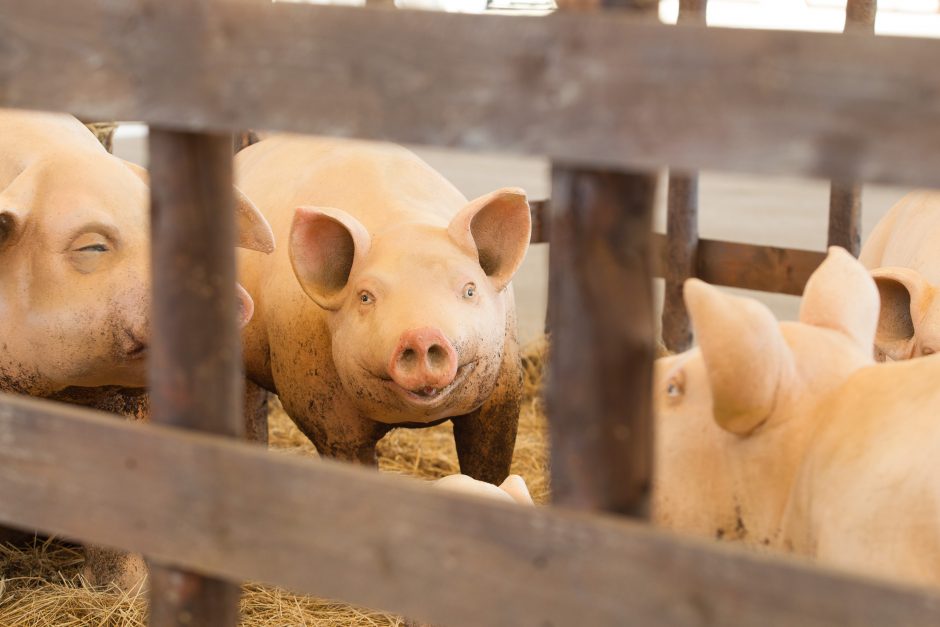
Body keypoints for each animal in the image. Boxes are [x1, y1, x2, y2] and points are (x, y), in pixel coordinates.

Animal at [235, 135, 532, 484]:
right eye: (366, 297)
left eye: (470, 290)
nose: (422, 335)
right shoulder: (316, 397)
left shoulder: (505, 383)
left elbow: (490, 461)